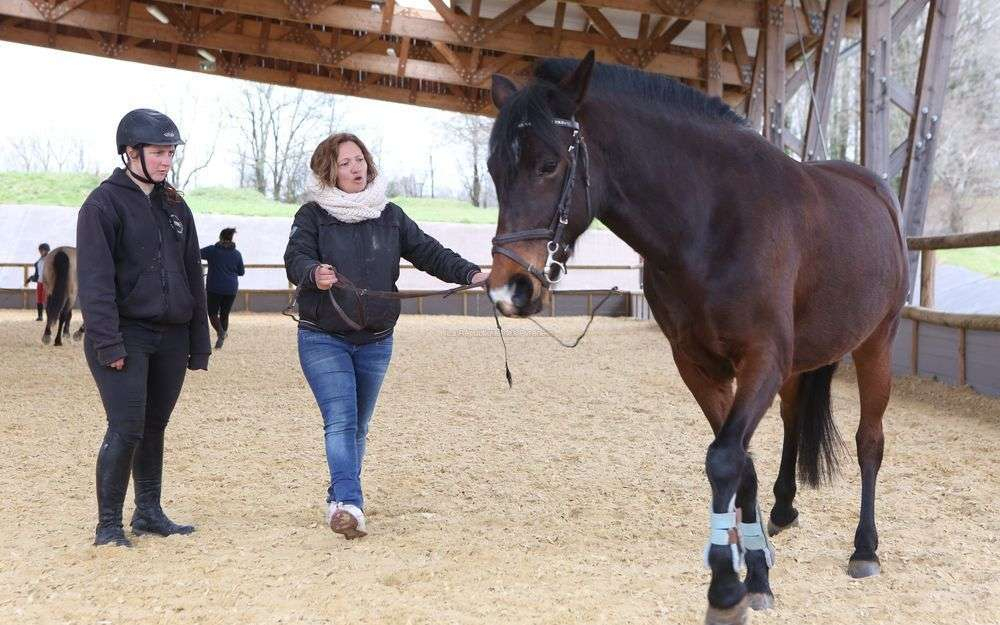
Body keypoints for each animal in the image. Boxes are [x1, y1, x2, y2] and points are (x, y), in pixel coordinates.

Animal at [482, 51, 908, 620]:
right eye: (495, 170)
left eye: (548, 164)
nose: (509, 288)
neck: (712, 221)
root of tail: (878, 194)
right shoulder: (698, 366)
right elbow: (741, 465)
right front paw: (757, 573)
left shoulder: (761, 360)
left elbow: (724, 459)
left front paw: (726, 587)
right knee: (794, 422)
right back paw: (784, 509)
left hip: (876, 343)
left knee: (869, 443)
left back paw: (865, 548)